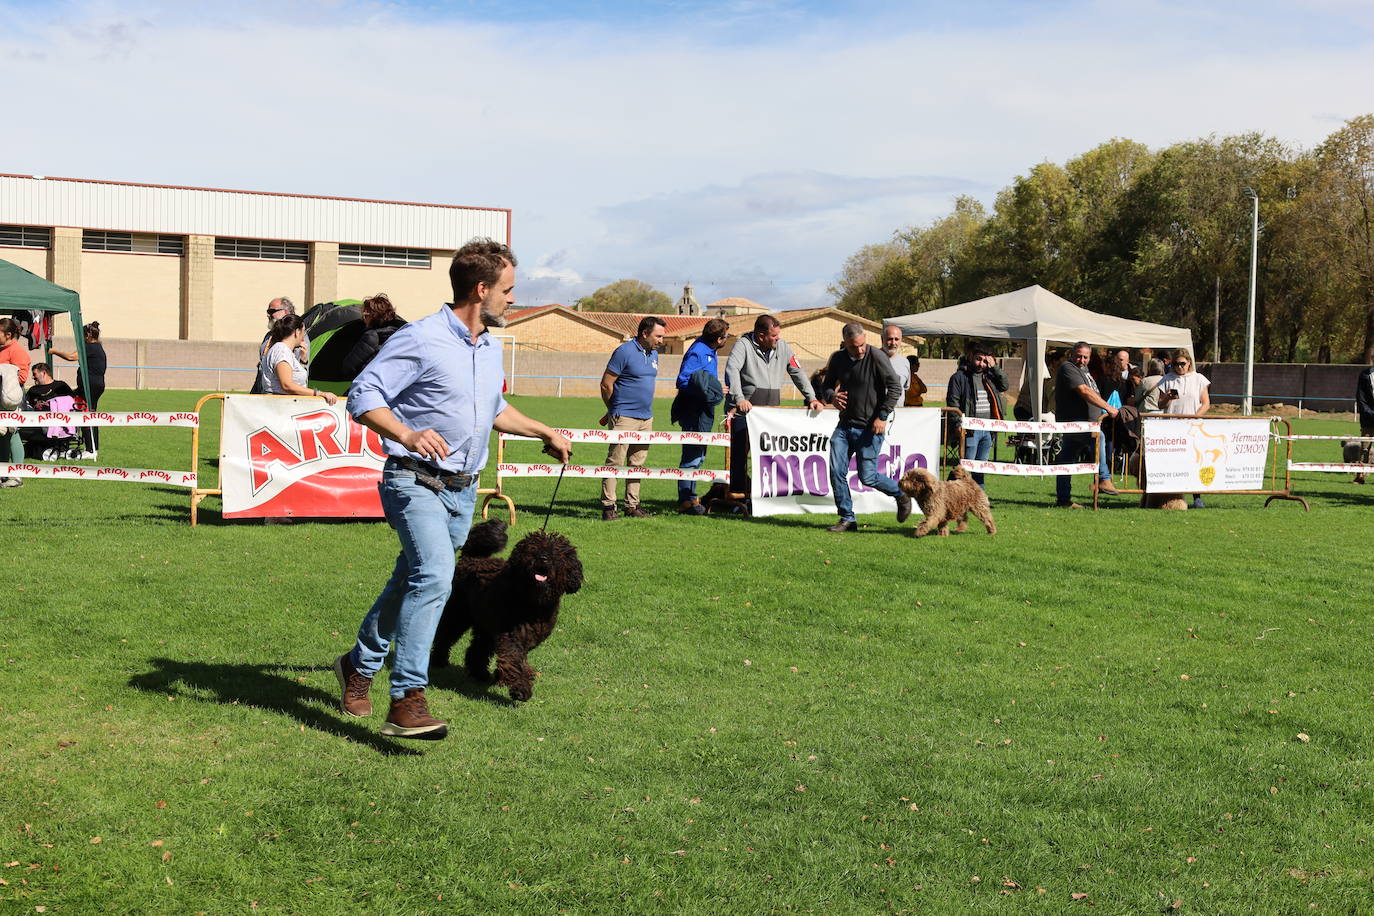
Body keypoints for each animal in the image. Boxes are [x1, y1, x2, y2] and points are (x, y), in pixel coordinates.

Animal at [428, 521, 579, 703]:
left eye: (556, 552)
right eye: (532, 548)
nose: (543, 558)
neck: (533, 603)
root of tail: (471, 557)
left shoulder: (526, 637)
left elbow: (518, 660)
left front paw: (505, 679)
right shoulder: (511, 635)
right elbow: (515, 660)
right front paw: (521, 689)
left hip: (485, 625)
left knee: (477, 649)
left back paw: (480, 674)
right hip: (458, 614)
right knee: (445, 636)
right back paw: (439, 661)